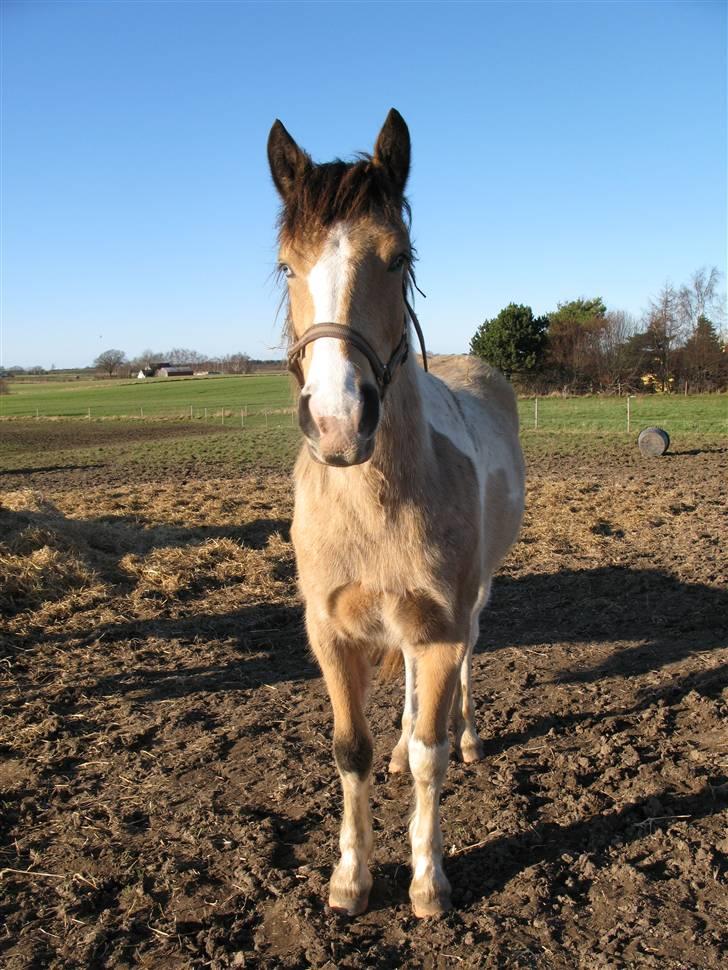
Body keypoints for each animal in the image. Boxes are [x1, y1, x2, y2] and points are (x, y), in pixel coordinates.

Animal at [268, 108, 524, 916]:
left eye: (397, 257)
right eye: (287, 266)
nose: (339, 420)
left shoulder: (440, 625)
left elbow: (431, 760)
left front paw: (427, 879)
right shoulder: (331, 633)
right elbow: (351, 750)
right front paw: (350, 878)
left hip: (473, 602)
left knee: (462, 673)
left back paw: (468, 738)